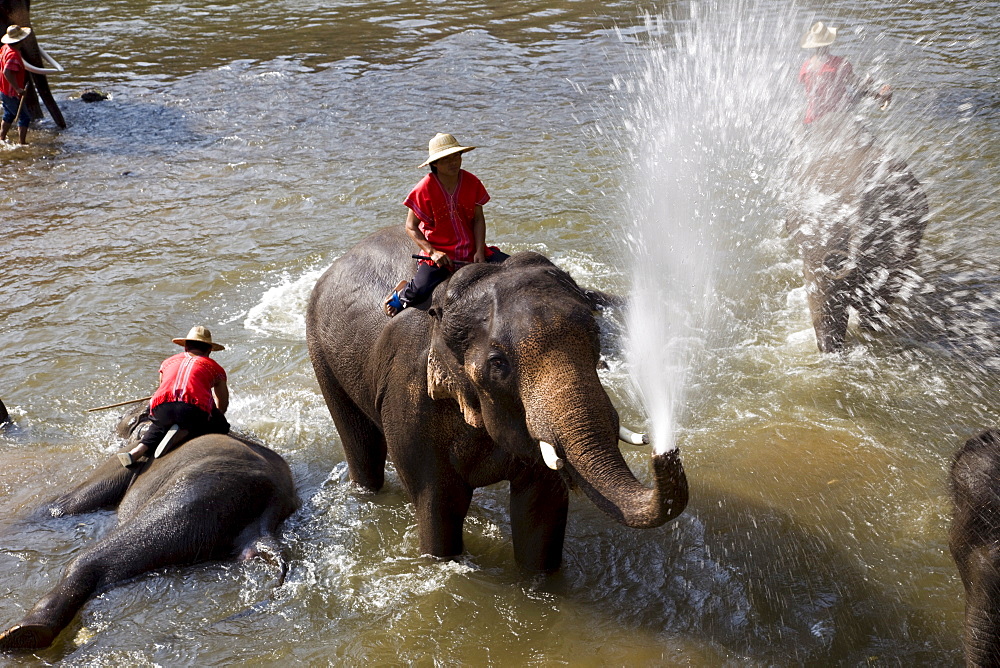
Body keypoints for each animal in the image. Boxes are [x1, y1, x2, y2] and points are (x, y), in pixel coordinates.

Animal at [0, 402, 296, 652]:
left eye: (128, 416)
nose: (118, 419)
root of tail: (264, 527)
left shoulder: (128, 459)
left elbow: (64, 505)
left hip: (201, 491)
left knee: (94, 557)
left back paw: (20, 635)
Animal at [308, 227, 692, 572]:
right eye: (498, 363)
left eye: (595, 336)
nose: (665, 450)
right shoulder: (409, 395)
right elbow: (439, 502)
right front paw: (440, 561)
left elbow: (541, 509)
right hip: (320, 350)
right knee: (361, 442)